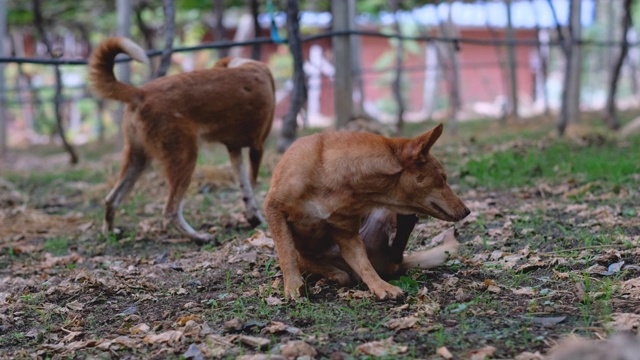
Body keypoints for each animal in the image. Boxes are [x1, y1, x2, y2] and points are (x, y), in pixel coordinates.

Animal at [89, 38, 274, 243]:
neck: (246, 64)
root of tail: (141, 92)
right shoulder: (257, 147)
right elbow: (252, 187)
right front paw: (258, 219)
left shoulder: (234, 150)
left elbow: (245, 189)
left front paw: (252, 217)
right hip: (185, 157)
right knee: (170, 211)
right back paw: (199, 237)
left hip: (138, 159)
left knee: (111, 199)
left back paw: (109, 233)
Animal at [264, 125, 470, 300]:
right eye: (443, 178)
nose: (467, 210)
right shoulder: (274, 210)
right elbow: (286, 252)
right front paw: (293, 287)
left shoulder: (346, 234)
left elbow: (365, 265)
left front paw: (381, 287)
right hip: (309, 258)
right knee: (311, 262)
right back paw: (333, 272)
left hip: (382, 216)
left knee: (393, 253)